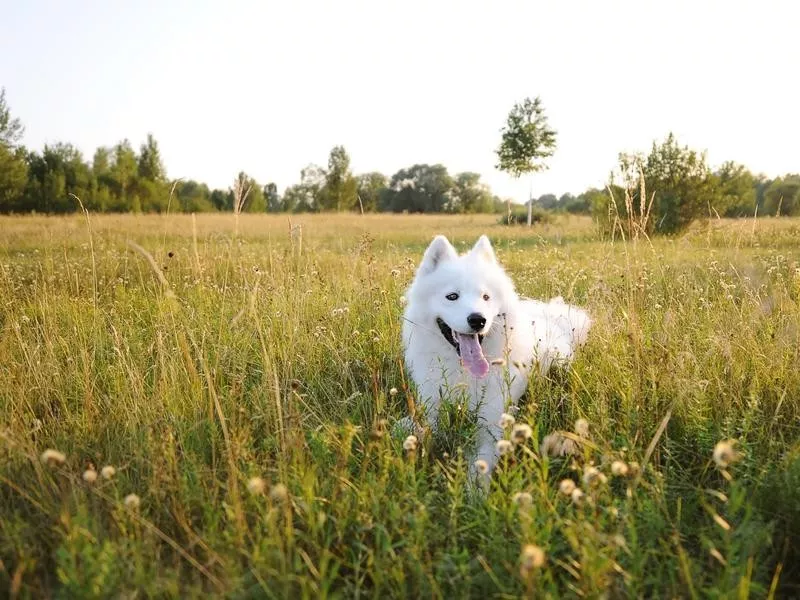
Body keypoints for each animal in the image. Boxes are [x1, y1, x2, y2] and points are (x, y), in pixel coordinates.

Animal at [404, 234, 592, 468]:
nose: (478, 319)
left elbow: (479, 465)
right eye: (452, 296)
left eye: (486, 297)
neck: (464, 373)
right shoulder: (432, 407)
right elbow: (419, 428)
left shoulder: (492, 425)